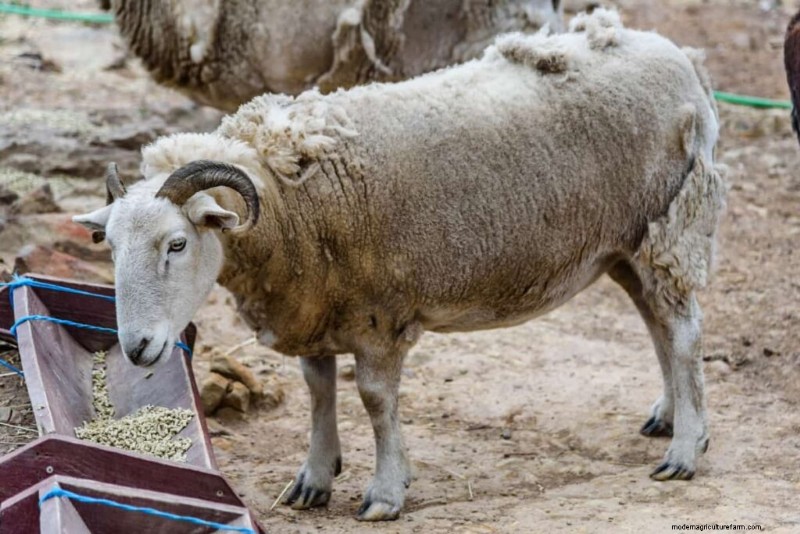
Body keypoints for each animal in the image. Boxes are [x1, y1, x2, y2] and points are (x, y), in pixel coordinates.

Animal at [73, 9, 726, 522]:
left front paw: (386, 492)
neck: (288, 207)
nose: (136, 348)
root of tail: (677, 55)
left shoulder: (378, 315)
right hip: (624, 244)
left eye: (177, 245)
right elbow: (318, 392)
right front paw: (313, 478)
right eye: (110, 246)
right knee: (655, 321)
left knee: (684, 332)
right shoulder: (315, 305)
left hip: (669, 224)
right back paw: (670, 417)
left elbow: (374, 401)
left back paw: (685, 450)